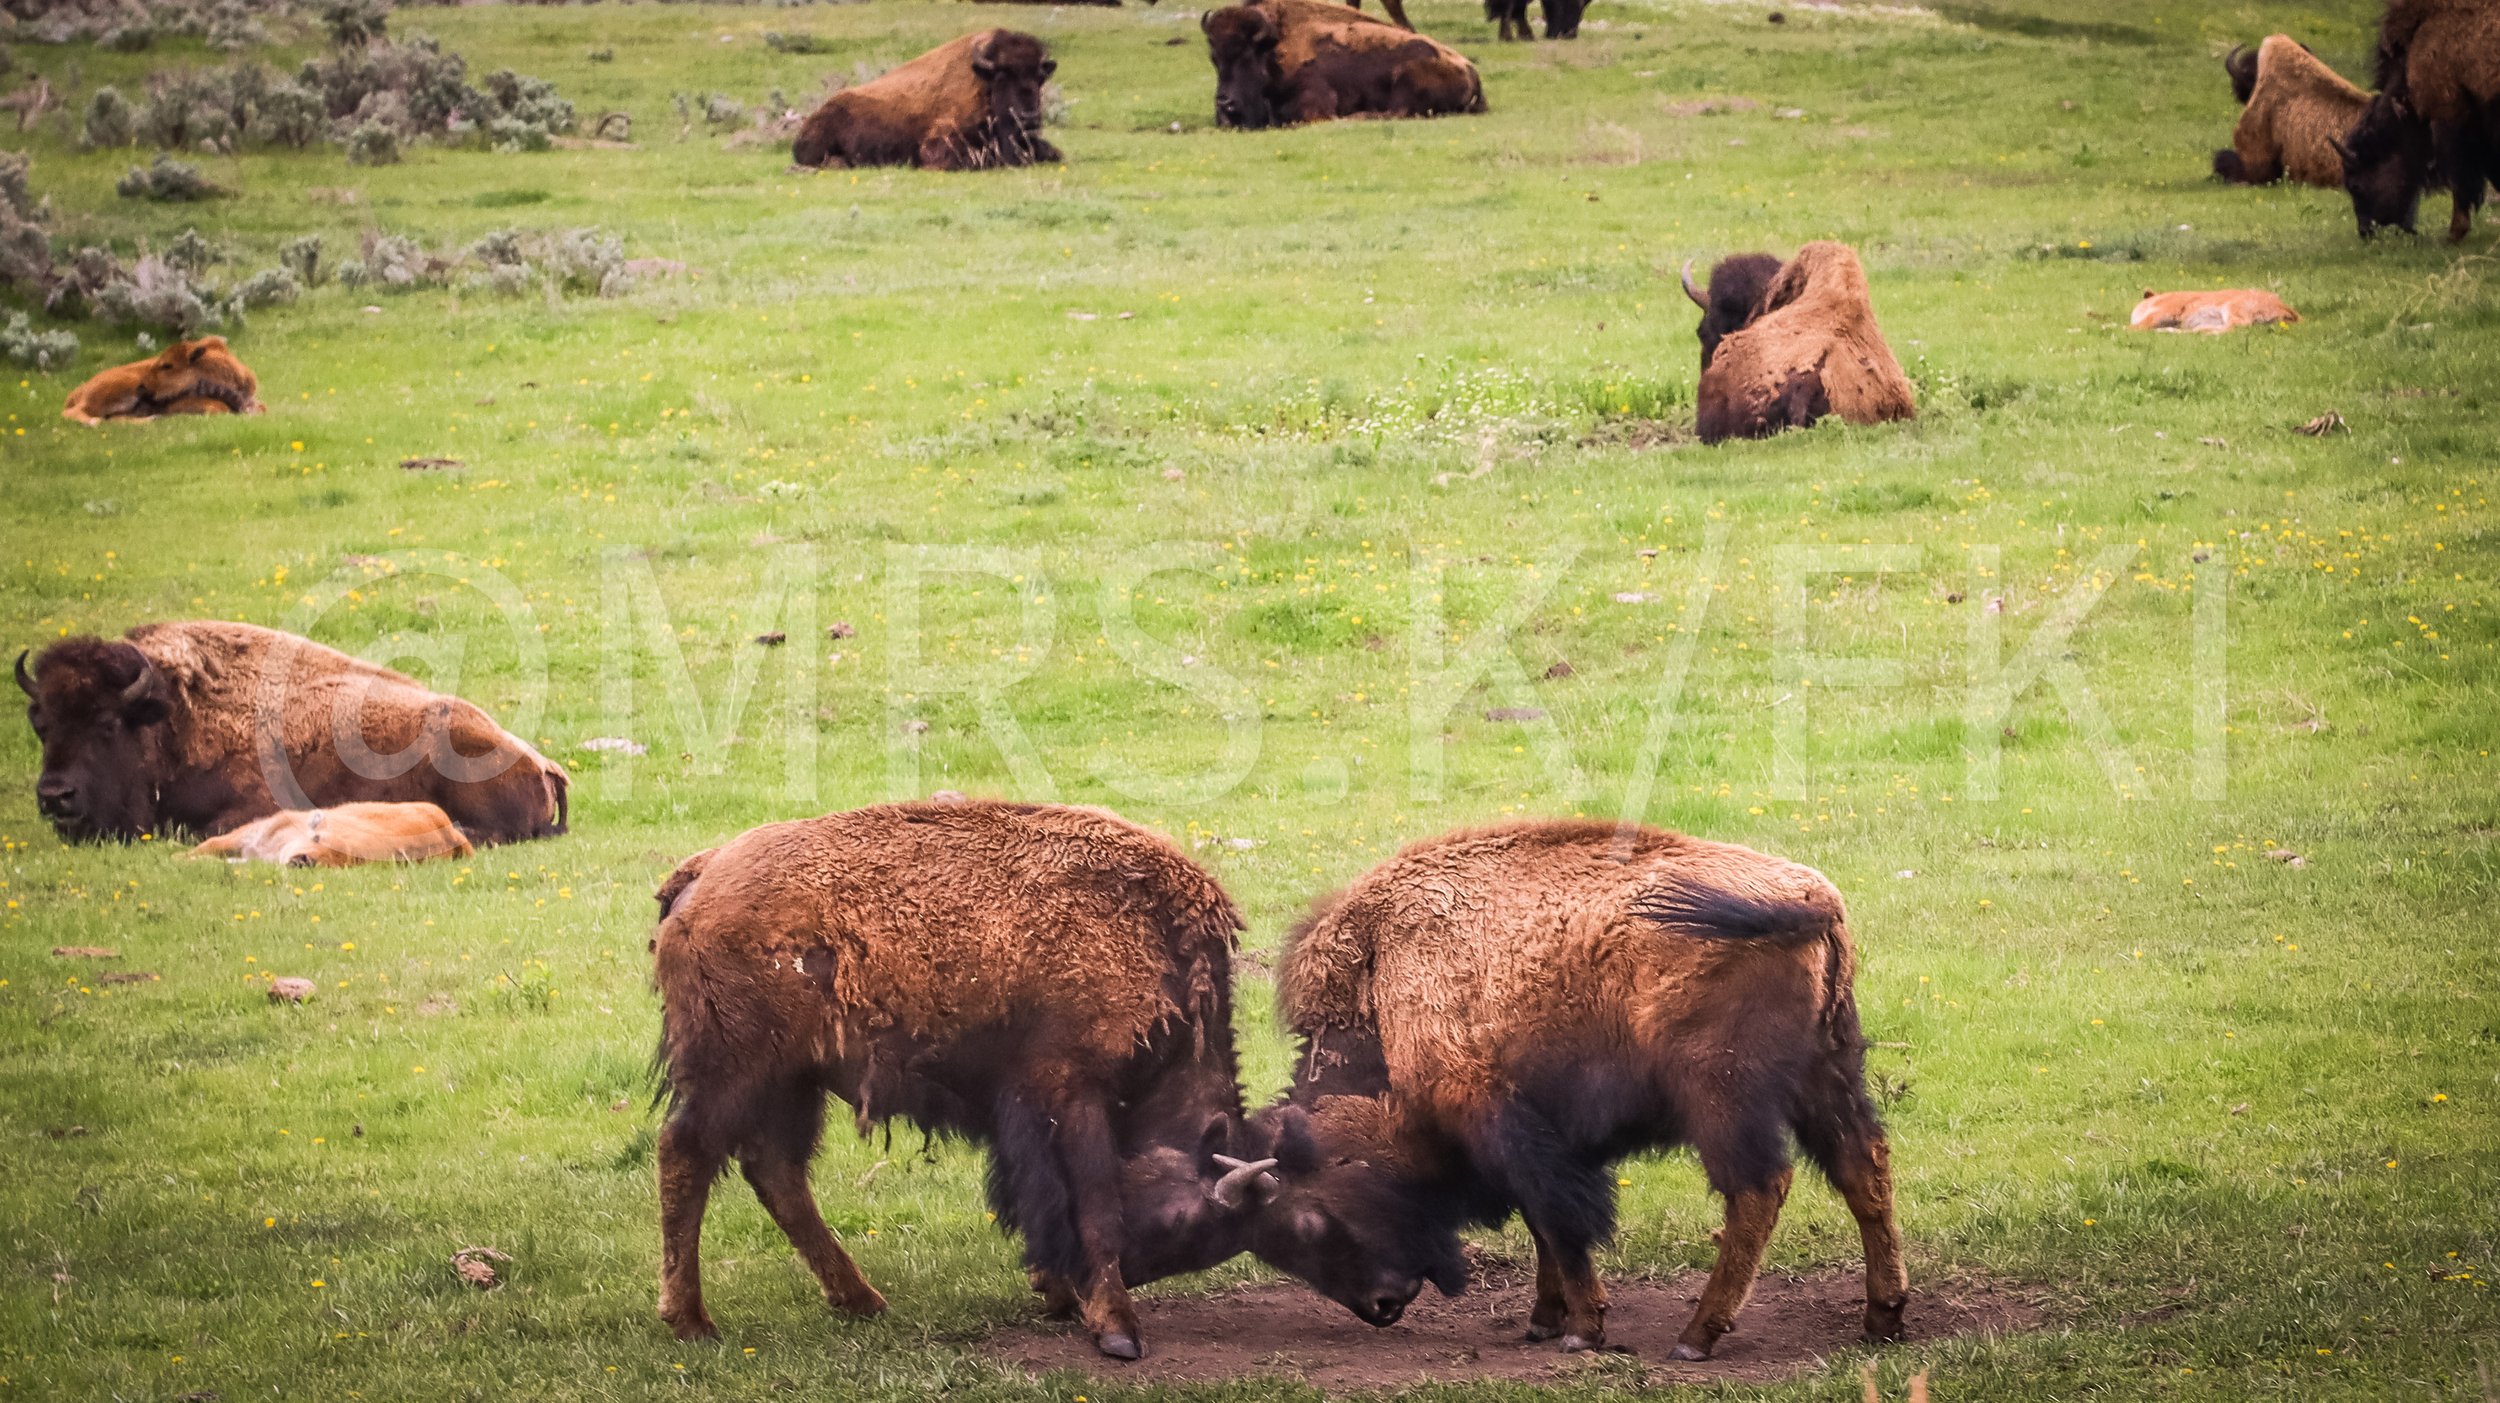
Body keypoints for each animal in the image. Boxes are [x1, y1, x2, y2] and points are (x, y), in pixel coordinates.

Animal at [650, 800, 1270, 1361]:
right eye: (1193, 1224)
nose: (1139, 1274)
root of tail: (701, 872)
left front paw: (1062, 1295)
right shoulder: (1073, 1092)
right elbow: (1093, 1204)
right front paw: (1117, 1328)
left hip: (794, 1083)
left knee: (777, 1173)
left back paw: (861, 1300)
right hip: (738, 1073)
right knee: (688, 1153)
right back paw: (692, 1321)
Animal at [792, 30, 1061, 171]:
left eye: (1039, 78)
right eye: (1002, 76)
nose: (1029, 118)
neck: (983, 85)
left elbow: (1053, 152)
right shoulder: (938, 146)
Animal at [1204, 0, 1484, 129]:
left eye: (1247, 57)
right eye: (1214, 58)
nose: (1224, 103)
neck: (1273, 48)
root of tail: (1472, 71)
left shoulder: (1314, 106)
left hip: (1408, 79)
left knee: (1398, 111)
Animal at [1236, 820, 1907, 1359]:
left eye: (1310, 1220)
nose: (1380, 1306)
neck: (1384, 987)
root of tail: (1813, 897)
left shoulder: (1504, 1123)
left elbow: (1561, 1224)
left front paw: (1583, 1330)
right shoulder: (1543, 1133)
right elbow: (1545, 1230)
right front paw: (1544, 1320)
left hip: (1723, 1098)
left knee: (1758, 1190)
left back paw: (1696, 1337)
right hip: (1826, 1073)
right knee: (1863, 1168)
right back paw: (1882, 1319)